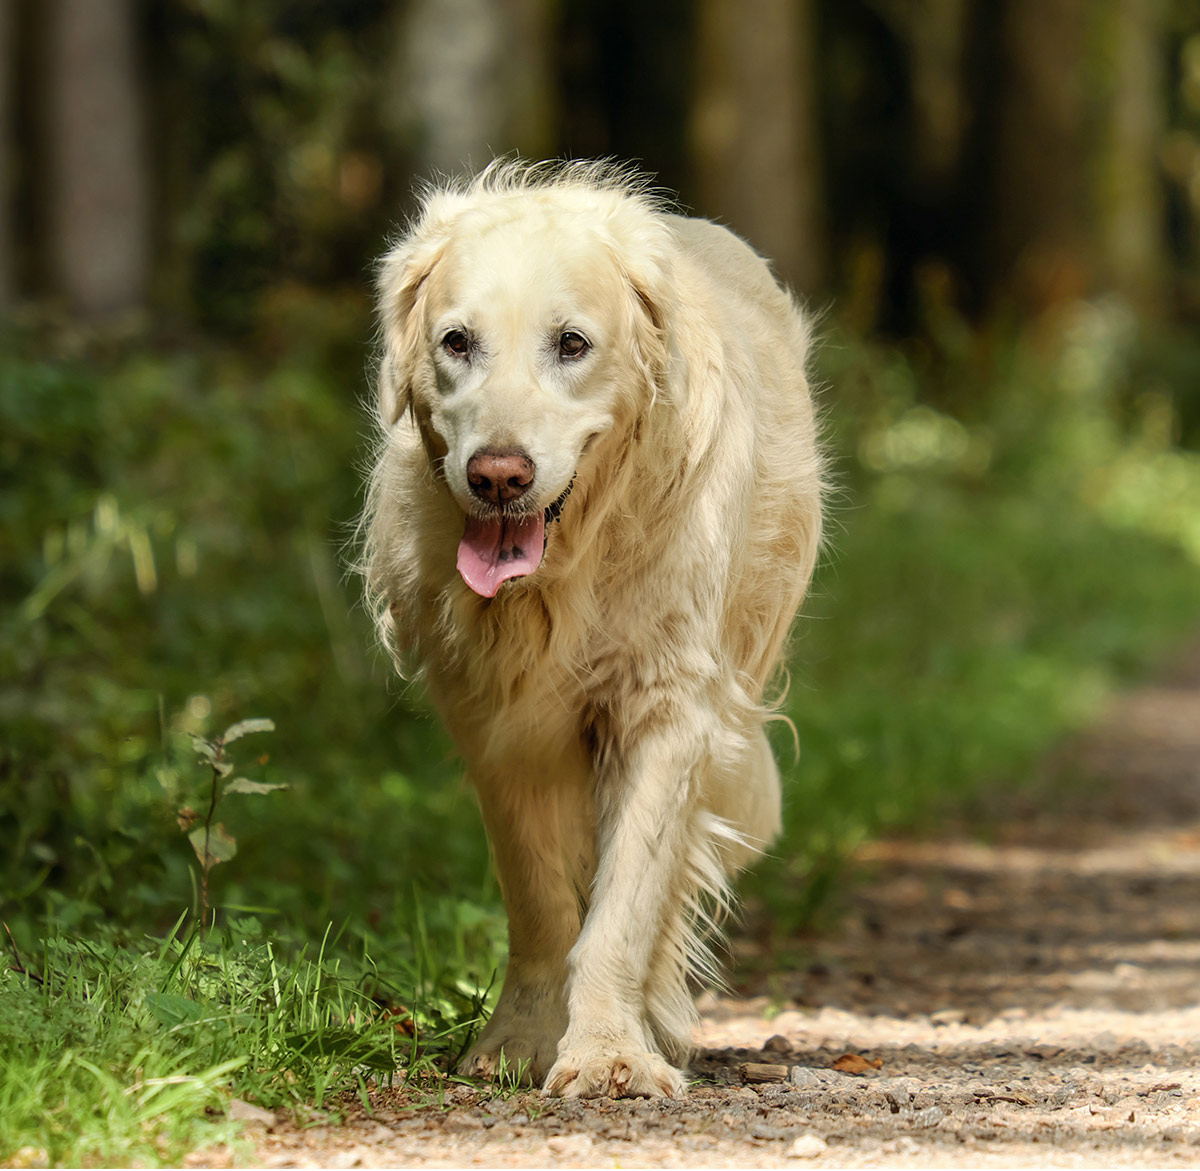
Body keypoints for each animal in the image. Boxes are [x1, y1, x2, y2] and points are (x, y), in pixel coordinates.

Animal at [360, 161, 820, 1099]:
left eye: (571, 344)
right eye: (457, 342)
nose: (498, 475)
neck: (565, 571)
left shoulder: (669, 706)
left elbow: (627, 901)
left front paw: (610, 1050)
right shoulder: (495, 722)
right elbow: (540, 898)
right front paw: (524, 1039)